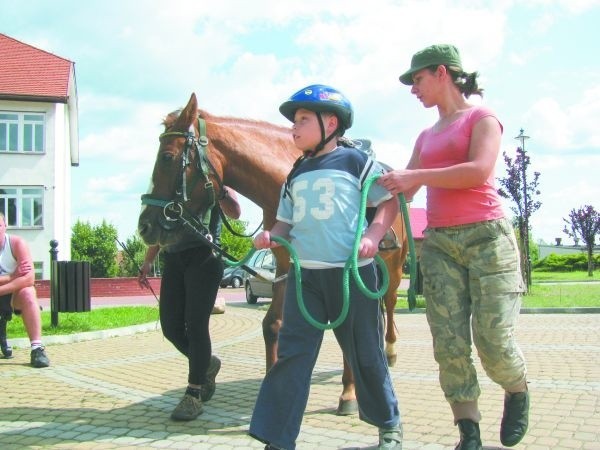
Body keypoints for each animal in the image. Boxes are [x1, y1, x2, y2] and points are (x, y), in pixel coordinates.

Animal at [137, 94, 408, 414]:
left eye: (167, 157)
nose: (144, 226)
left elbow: (348, 323)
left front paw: (349, 394)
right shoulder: (285, 267)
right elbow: (272, 325)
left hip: (393, 267)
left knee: (389, 304)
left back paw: (389, 352)